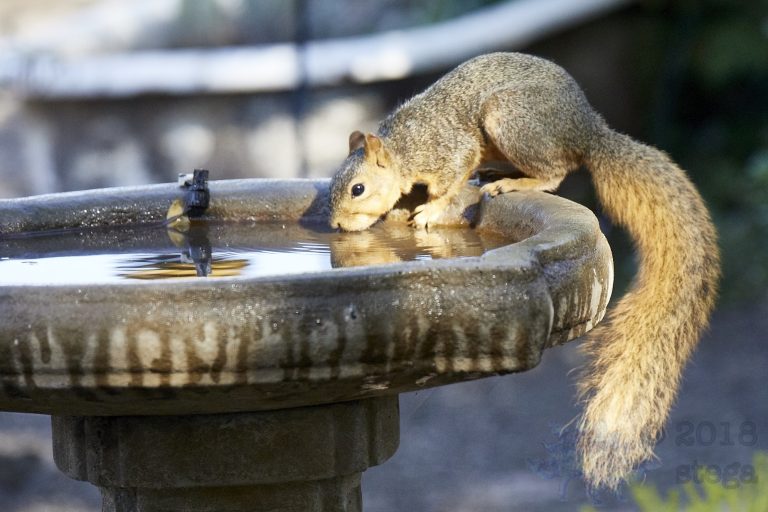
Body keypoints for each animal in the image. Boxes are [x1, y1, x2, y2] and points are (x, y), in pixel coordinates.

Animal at [328, 52, 719, 489]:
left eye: (357, 189)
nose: (336, 226)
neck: (403, 149)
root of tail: (588, 130)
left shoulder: (449, 150)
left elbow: (450, 182)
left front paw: (429, 210)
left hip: (511, 119)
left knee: (557, 169)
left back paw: (514, 183)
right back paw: (498, 174)